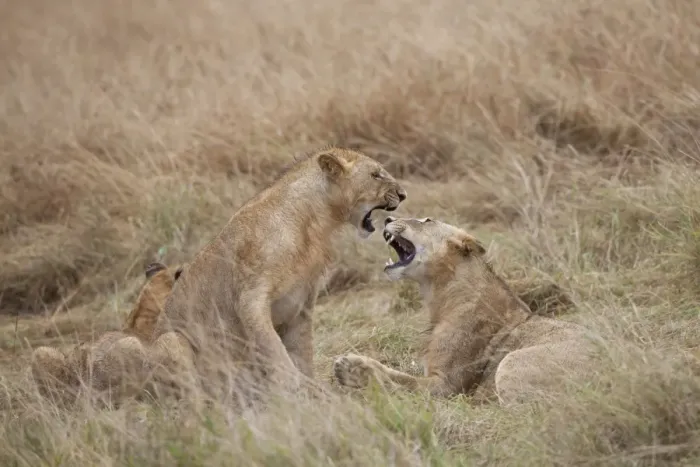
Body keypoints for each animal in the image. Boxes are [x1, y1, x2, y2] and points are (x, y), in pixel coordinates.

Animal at [150, 146, 407, 396]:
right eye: (376, 175)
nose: (403, 194)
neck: (313, 223)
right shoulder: (251, 298)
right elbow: (274, 348)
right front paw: (293, 387)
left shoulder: (302, 306)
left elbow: (302, 351)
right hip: (170, 341)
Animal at [333, 216, 600, 406]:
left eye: (426, 220)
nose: (387, 218)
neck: (439, 294)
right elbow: (398, 373)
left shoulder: (446, 385)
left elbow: (404, 383)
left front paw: (353, 369)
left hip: (511, 363)